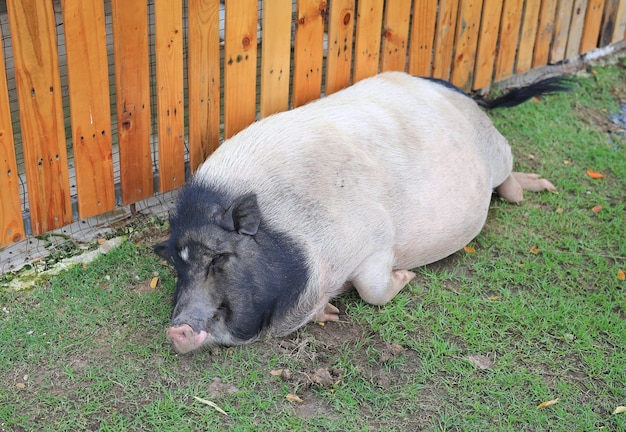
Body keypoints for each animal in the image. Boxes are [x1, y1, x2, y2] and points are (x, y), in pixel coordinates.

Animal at [155, 71, 560, 352]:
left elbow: (373, 290)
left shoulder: (376, 237)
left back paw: (540, 187)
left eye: (219, 258)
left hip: (495, 149)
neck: (293, 235)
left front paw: (407, 277)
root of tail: (455, 88)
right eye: (176, 265)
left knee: (509, 181)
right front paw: (331, 313)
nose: (176, 329)